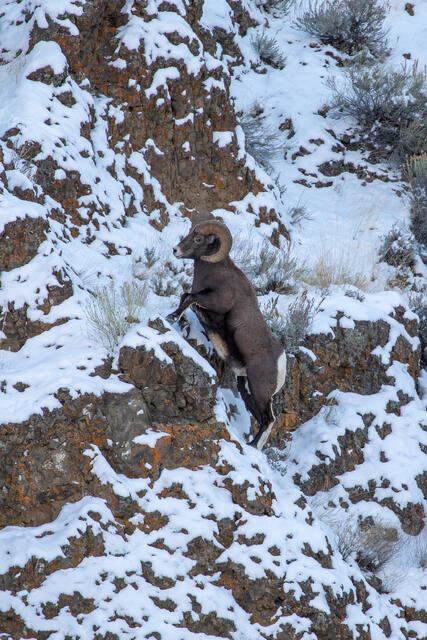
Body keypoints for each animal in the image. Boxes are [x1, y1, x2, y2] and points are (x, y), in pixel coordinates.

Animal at [167, 214, 286, 449]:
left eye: (198, 239)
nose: (176, 250)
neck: (216, 273)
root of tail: (282, 362)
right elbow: (185, 296)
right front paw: (177, 319)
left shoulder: (214, 302)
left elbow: (189, 297)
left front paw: (172, 318)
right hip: (245, 388)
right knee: (262, 419)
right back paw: (252, 446)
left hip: (259, 391)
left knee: (269, 419)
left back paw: (252, 445)